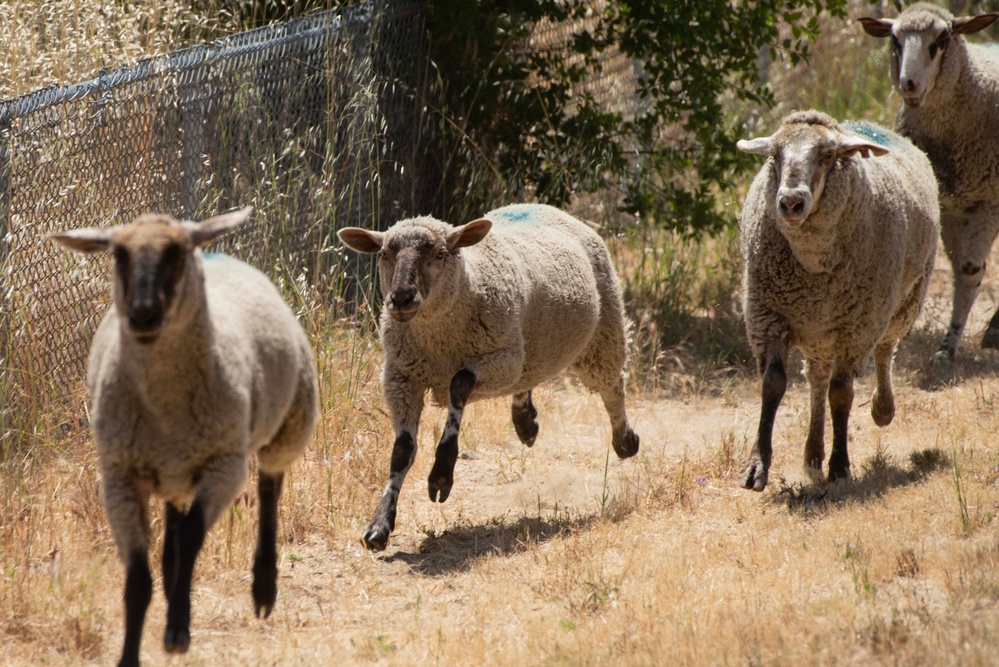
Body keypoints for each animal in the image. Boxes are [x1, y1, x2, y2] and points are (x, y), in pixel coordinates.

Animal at [50, 206, 318, 664]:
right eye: (118, 255)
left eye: (176, 253)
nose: (142, 314)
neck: (165, 409)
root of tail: (217, 252)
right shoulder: (120, 479)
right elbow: (137, 579)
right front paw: (131, 653)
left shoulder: (224, 465)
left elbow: (194, 536)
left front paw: (178, 629)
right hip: (173, 469)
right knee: (176, 514)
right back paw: (172, 570)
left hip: (288, 425)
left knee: (269, 488)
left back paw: (263, 587)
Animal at [338, 204, 640, 552]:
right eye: (385, 253)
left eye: (440, 253)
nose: (401, 298)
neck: (438, 341)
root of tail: (548, 208)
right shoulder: (400, 376)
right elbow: (401, 450)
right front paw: (379, 527)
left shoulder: (500, 360)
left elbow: (458, 385)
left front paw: (442, 473)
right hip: (528, 348)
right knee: (529, 380)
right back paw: (525, 423)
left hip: (602, 331)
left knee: (612, 387)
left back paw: (625, 441)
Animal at [740, 112, 940, 494]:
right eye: (774, 155)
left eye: (828, 155)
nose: (790, 202)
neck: (812, 264)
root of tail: (868, 124)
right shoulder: (769, 316)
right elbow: (773, 383)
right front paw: (757, 466)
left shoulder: (857, 327)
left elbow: (842, 394)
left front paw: (840, 466)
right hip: (818, 331)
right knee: (817, 378)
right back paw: (812, 455)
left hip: (899, 303)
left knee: (884, 350)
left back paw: (882, 409)